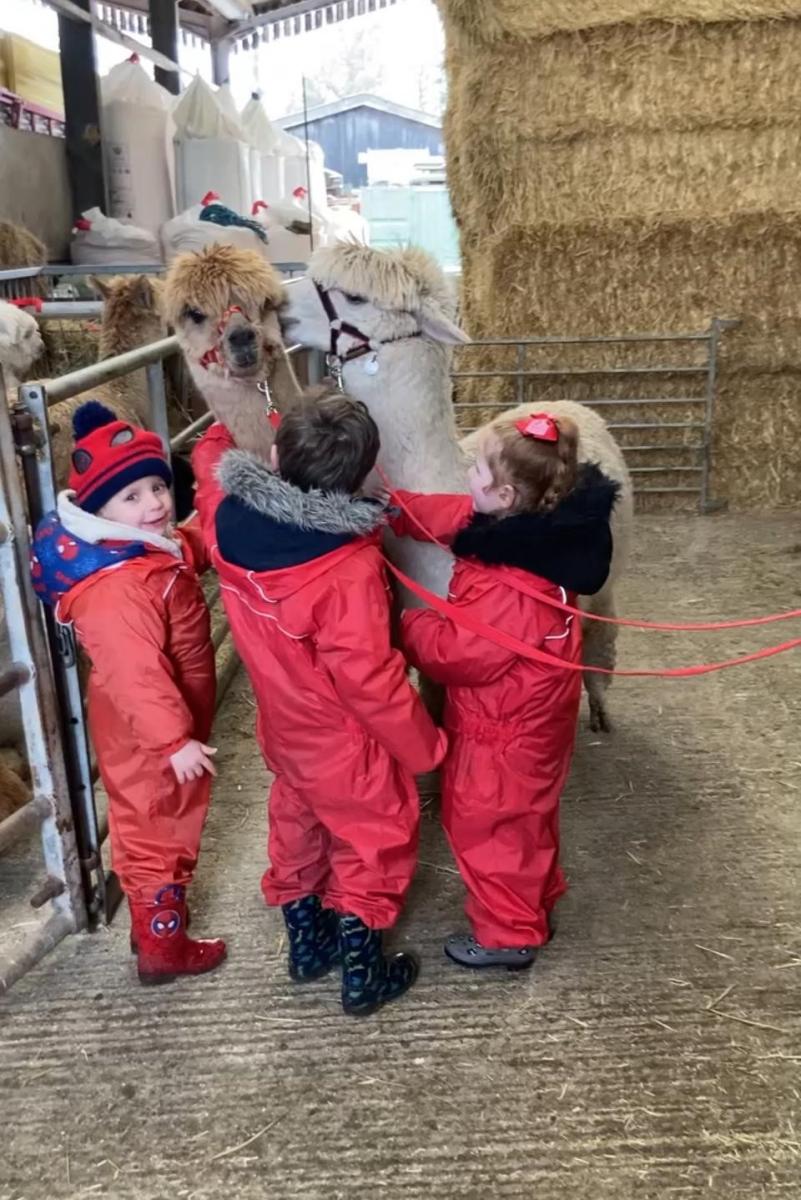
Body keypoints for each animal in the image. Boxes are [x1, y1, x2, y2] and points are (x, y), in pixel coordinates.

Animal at [280, 243, 634, 732]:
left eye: (354, 297)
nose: (276, 304)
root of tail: (564, 403)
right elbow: (433, 697)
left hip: (609, 581)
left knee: (603, 633)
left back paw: (599, 706)